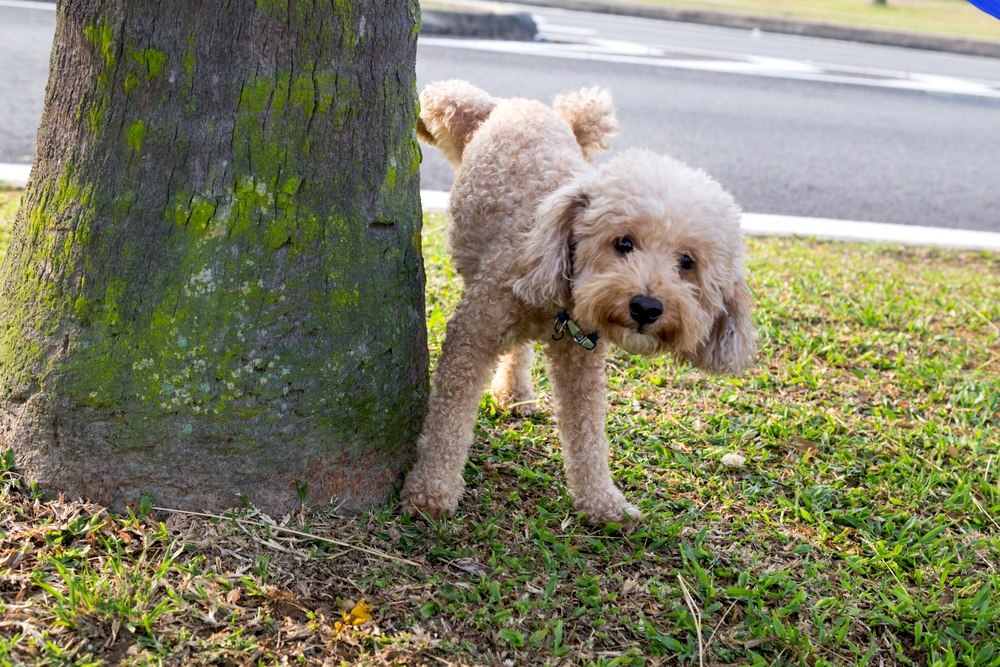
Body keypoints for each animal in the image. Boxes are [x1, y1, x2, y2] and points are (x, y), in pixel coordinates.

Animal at [402, 79, 752, 528]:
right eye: (623, 243)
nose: (646, 307)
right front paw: (432, 489)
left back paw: (516, 393)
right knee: (447, 94)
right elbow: (449, 418)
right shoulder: (473, 334)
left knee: (519, 351)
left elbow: (587, 433)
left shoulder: (581, 360)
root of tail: (526, 105)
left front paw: (602, 501)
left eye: (687, 262)